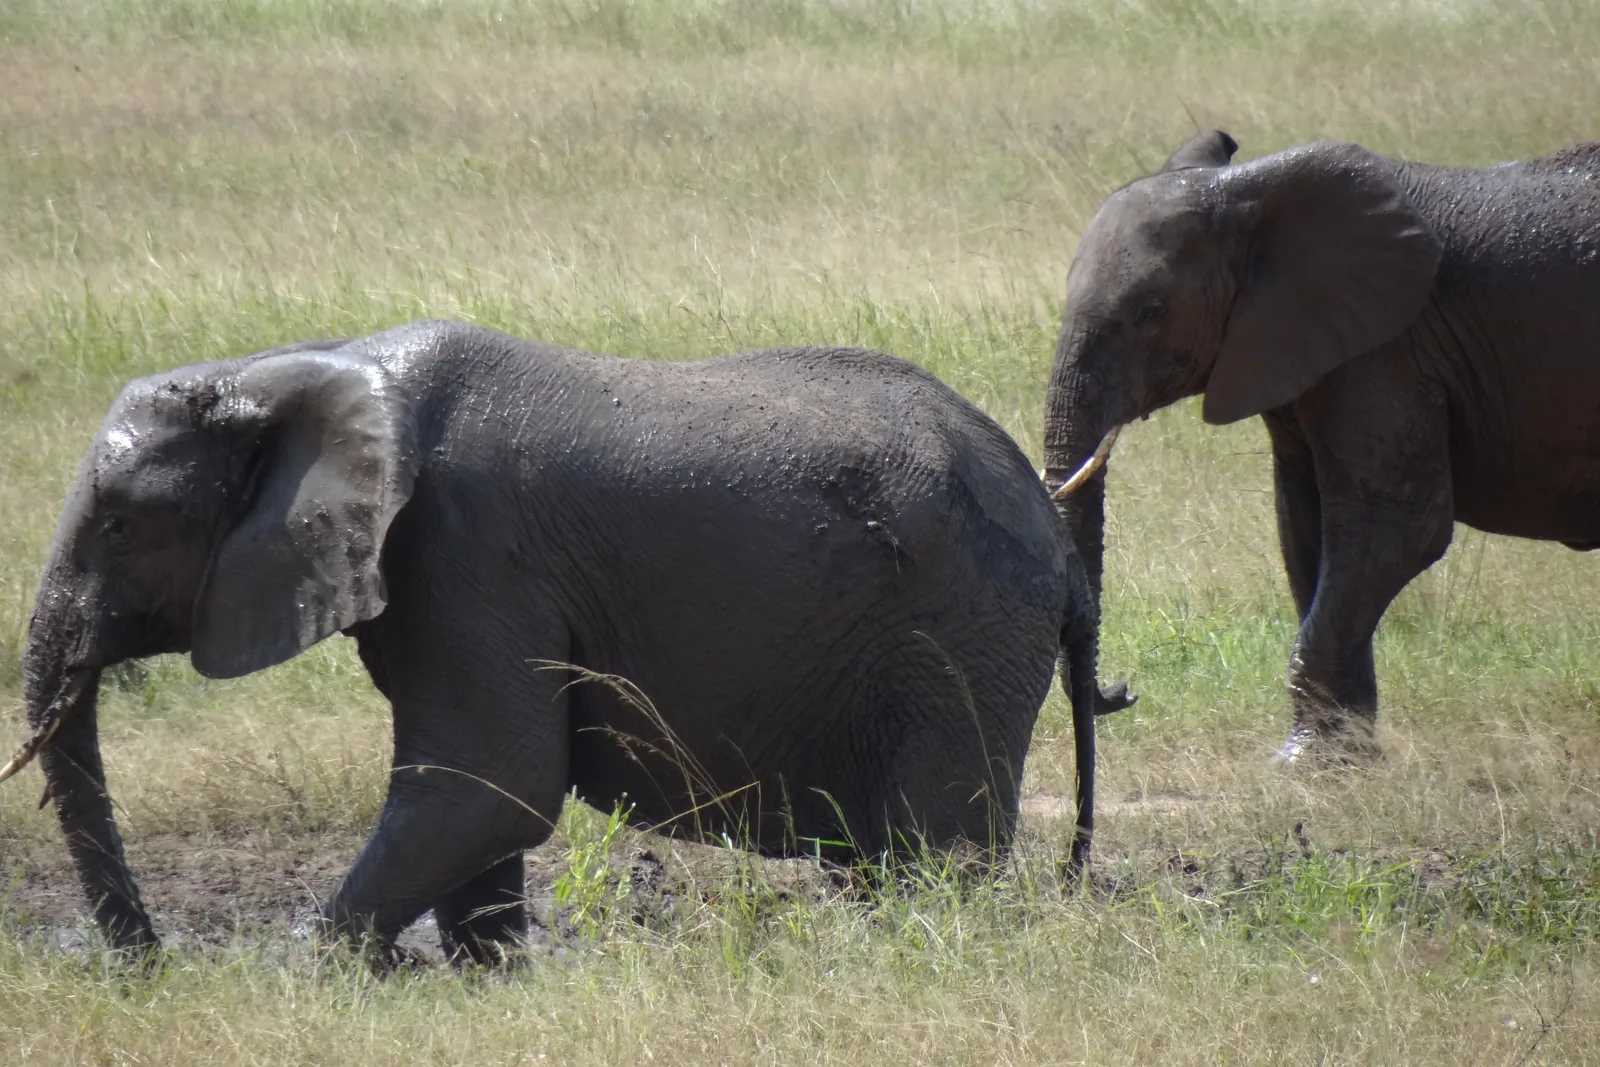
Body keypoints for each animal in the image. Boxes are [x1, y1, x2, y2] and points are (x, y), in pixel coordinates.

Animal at [6, 319, 1102, 965]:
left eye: (120, 525)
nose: (150, 966)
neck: (305, 365)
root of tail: (1052, 526)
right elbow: (475, 796)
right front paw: (485, 981)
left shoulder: (469, 552)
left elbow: (493, 776)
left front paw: (325, 973)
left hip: (962, 631)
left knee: (935, 850)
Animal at [1042, 129, 1600, 760]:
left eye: (1151, 311)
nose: (1122, 689)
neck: (1252, 195)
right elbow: (1304, 525)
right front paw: (1343, 756)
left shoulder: (1390, 350)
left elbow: (1398, 527)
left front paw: (1306, 763)